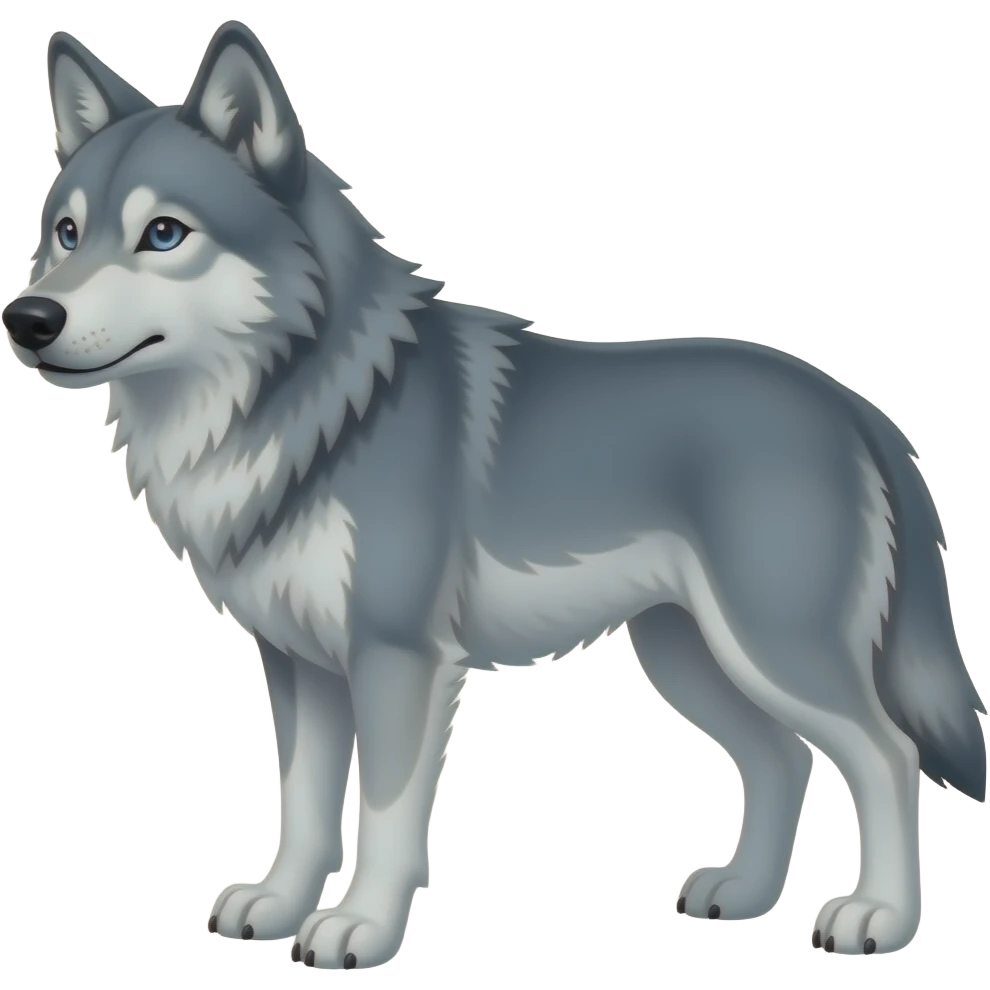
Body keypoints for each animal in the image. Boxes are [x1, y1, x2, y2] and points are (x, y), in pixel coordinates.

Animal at [2, 19, 985, 970]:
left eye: (164, 234)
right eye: (66, 233)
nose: (28, 318)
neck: (309, 406)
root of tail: (854, 407)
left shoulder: (396, 658)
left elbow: (385, 814)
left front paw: (359, 928)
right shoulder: (300, 667)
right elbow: (303, 809)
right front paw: (279, 907)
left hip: (772, 649)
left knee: (888, 755)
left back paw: (879, 919)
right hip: (689, 657)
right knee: (784, 760)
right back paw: (741, 895)